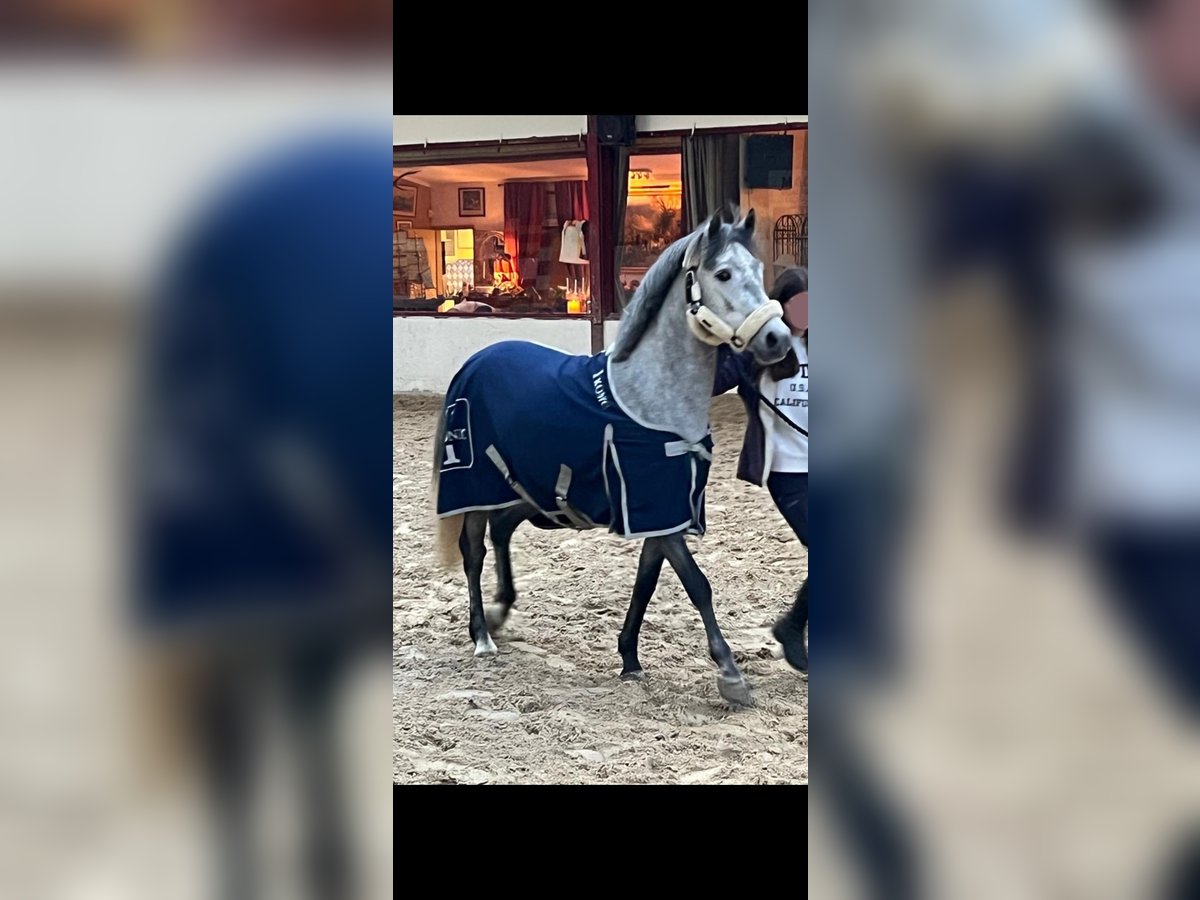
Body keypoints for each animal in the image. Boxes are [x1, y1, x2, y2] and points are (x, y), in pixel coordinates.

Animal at [430, 210, 792, 707]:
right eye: (723, 274)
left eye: (757, 269)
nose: (778, 339)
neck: (651, 401)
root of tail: (475, 362)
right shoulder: (656, 510)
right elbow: (698, 584)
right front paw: (731, 674)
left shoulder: (661, 513)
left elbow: (646, 583)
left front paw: (630, 659)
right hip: (475, 488)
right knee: (473, 552)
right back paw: (482, 634)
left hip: (526, 491)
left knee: (501, 533)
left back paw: (502, 613)